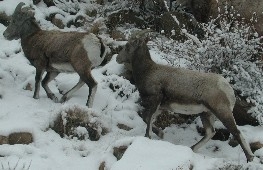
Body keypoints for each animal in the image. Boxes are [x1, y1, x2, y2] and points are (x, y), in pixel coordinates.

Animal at [117, 37, 256, 161]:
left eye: (128, 46)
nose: (118, 58)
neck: (148, 71)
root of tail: (227, 87)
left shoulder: (154, 101)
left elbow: (147, 119)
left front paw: (150, 136)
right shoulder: (160, 107)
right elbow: (146, 119)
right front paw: (161, 134)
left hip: (222, 112)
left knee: (236, 132)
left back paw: (250, 158)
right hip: (206, 114)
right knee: (211, 132)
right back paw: (192, 148)